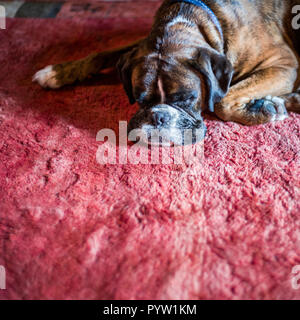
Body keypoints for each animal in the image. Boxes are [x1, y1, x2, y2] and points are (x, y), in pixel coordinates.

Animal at [32, 0, 300, 145]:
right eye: (140, 100)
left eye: (187, 99)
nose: (159, 117)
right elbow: (103, 53)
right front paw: (57, 72)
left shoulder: (285, 64)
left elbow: (222, 101)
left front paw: (263, 111)